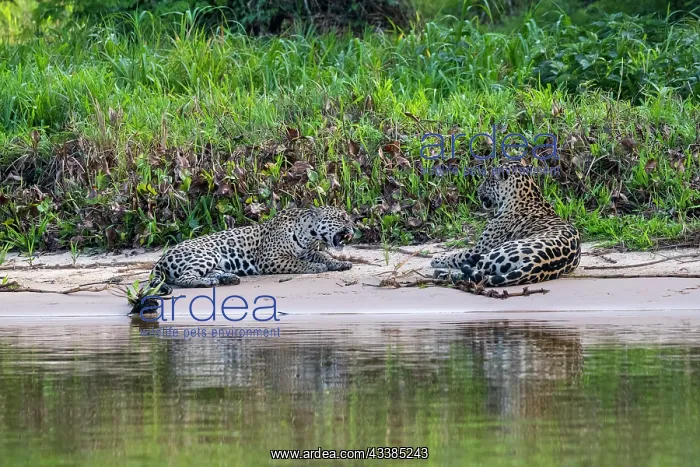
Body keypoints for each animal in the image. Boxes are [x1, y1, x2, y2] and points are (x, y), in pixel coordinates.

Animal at [149, 206, 356, 295]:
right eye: (342, 218)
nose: (354, 228)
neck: (309, 234)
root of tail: (161, 258)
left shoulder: (310, 251)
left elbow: (324, 256)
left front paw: (340, 263)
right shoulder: (271, 259)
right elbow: (297, 262)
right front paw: (315, 268)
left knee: (206, 273)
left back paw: (227, 278)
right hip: (207, 254)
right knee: (183, 278)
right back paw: (206, 283)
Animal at [430, 161, 580, 286]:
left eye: (487, 180)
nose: (477, 191)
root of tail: (535, 264)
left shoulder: (480, 248)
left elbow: (456, 255)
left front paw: (437, 259)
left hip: (490, 253)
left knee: (476, 274)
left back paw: (442, 274)